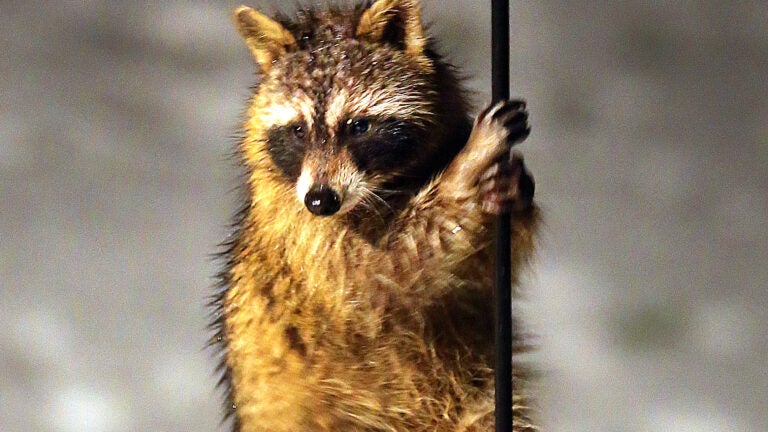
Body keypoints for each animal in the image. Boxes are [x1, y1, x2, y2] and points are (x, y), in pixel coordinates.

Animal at [210, 1, 539, 431]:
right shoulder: (298, 235)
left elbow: (478, 273)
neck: (386, 186)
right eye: (298, 130)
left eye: (358, 126)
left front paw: (513, 195)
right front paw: (465, 170)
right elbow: (378, 277)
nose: (321, 201)